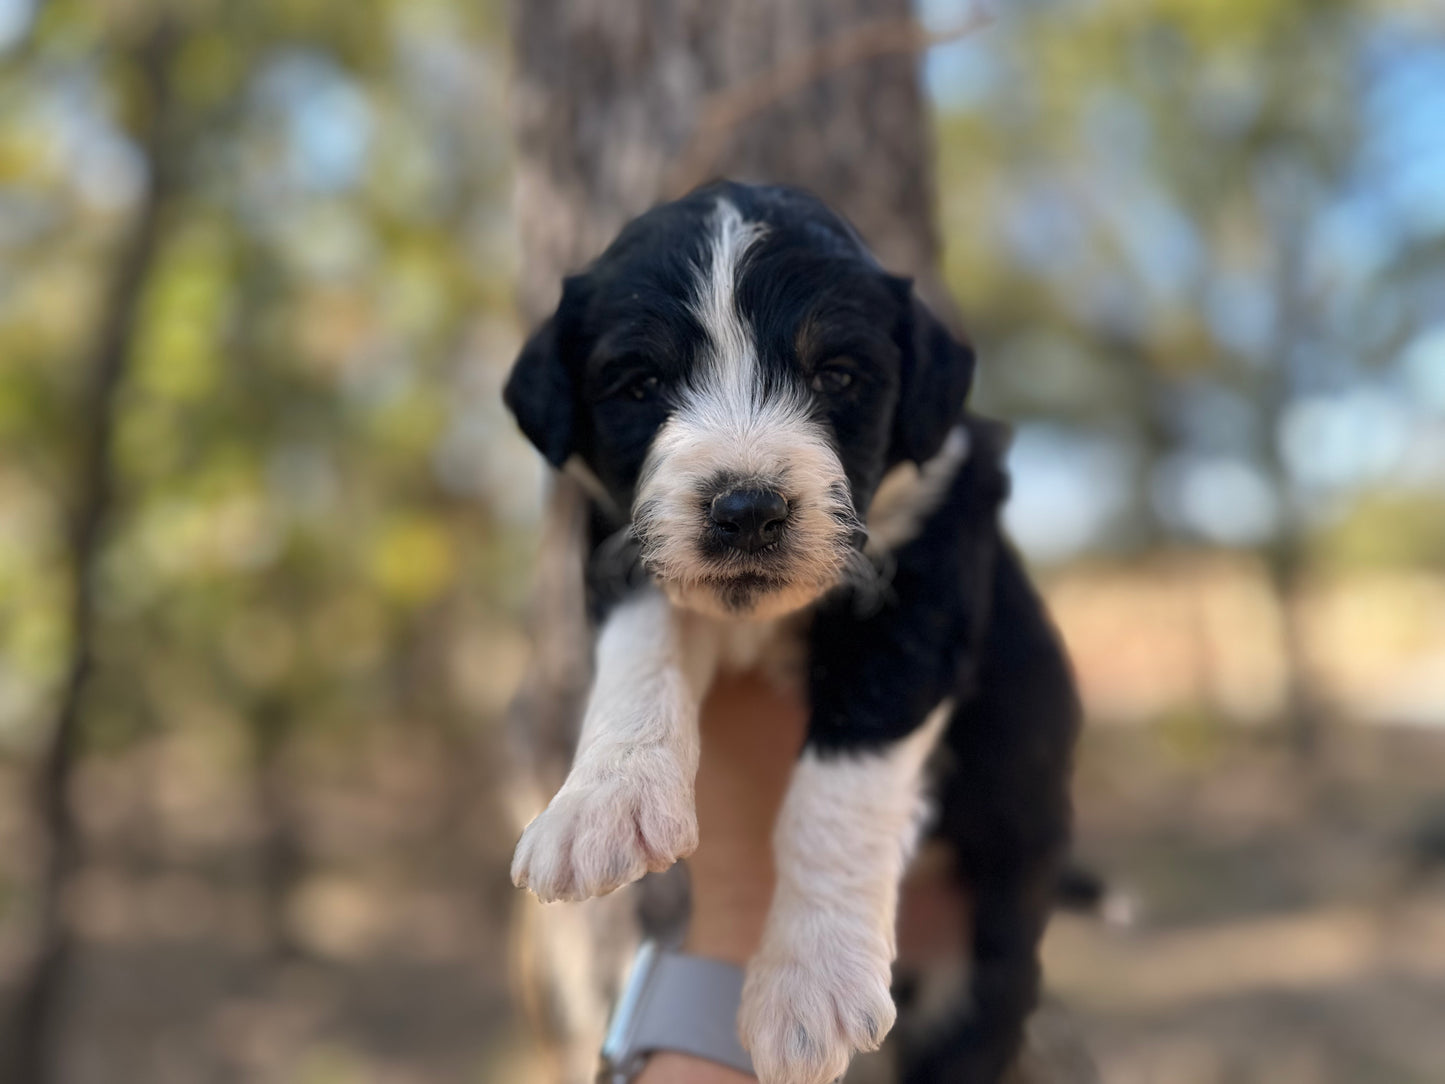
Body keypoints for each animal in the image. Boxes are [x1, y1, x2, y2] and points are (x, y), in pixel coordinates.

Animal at [502, 182, 1080, 1084]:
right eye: (639, 383)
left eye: (836, 375)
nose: (746, 510)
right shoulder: (618, 540)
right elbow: (640, 648)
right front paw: (602, 805)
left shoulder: (928, 582)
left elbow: (838, 790)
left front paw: (811, 982)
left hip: (993, 945)